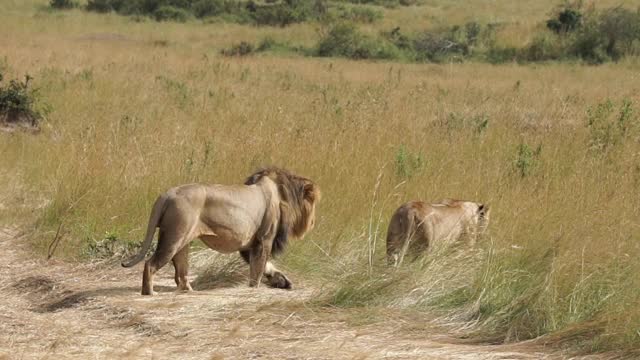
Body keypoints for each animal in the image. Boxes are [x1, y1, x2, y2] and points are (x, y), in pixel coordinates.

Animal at [121, 167, 320, 294]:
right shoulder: (264, 239)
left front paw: (282, 281)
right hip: (173, 237)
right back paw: (149, 293)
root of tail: (167, 194)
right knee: (150, 264)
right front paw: (255, 289)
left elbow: (264, 266)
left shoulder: (250, 243)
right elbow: (258, 268)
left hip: (182, 241)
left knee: (181, 272)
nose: (313, 222)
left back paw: (189, 290)